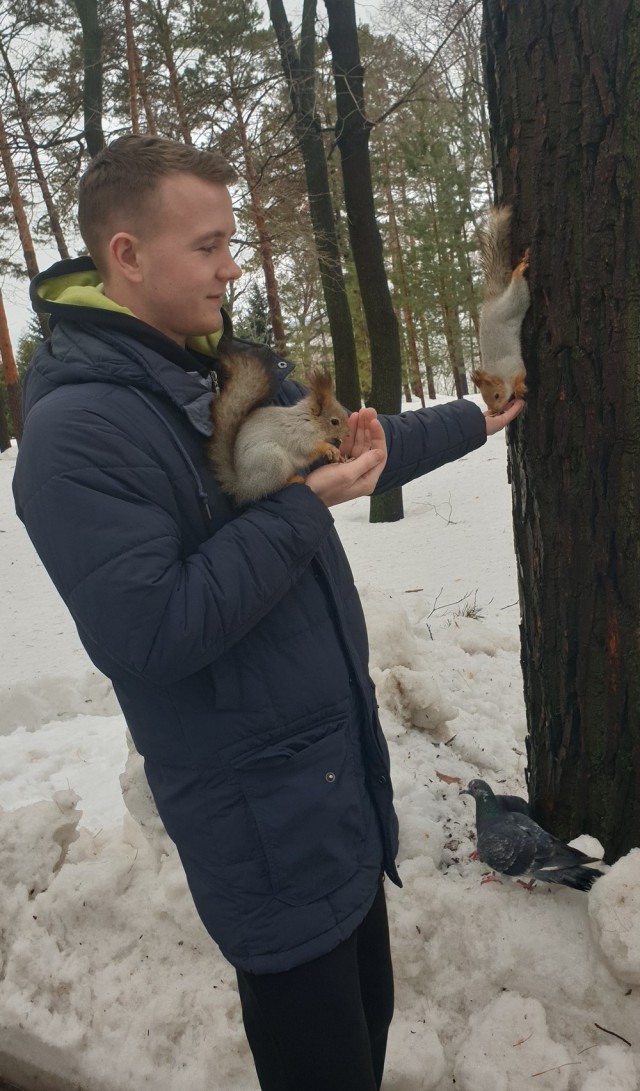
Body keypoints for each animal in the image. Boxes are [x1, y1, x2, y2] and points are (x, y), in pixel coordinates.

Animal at [210, 346, 351, 504]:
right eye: (334, 421)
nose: (348, 433)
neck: (310, 420)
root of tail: (243, 486)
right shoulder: (300, 434)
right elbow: (307, 447)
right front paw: (330, 449)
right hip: (273, 460)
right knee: (272, 487)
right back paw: (294, 479)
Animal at [471, 205, 529, 412]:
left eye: (496, 395)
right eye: (485, 400)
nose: (495, 412)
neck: (500, 374)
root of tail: (494, 300)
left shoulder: (513, 365)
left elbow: (522, 373)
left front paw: (519, 387)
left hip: (515, 301)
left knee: (518, 286)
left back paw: (519, 269)